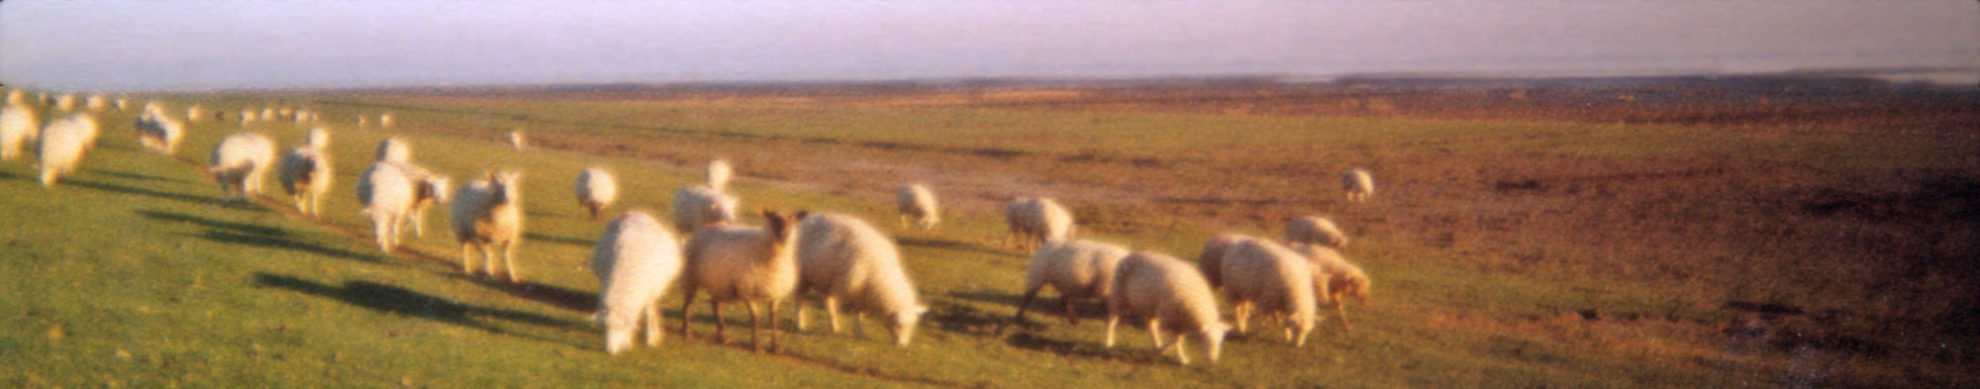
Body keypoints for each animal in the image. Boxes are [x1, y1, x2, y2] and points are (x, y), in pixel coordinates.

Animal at [586, 211, 689, 353]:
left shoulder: (649, 290)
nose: (609, 351)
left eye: (622, 328)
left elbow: (649, 311)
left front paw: (651, 338)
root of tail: (635, 212)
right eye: (606, 328)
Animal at [681, 209, 803, 353]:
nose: (784, 235)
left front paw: (776, 346)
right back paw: (687, 332)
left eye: (793, 220)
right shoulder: (748, 291)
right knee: (688, 304)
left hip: (719, 281)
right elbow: (755, 318)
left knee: (715, 305)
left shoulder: (776, 292)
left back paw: (723, 336)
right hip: (692, 277)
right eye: (774, 219)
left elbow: (774, 319)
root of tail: (707, 227)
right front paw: (756, 346)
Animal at [788, 212, 926, 347]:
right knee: (799, 299)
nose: (902, 345)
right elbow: (857, 313)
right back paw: (800, 324)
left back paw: (834, 327)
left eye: (912, 327)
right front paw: (859, 332)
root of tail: (806, 221)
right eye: (899, 325)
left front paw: (859, 332)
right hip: (803, 277)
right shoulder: (854, 290)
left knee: (828, 303)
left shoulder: (863, 293)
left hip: (827, 280)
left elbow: (860, 313)